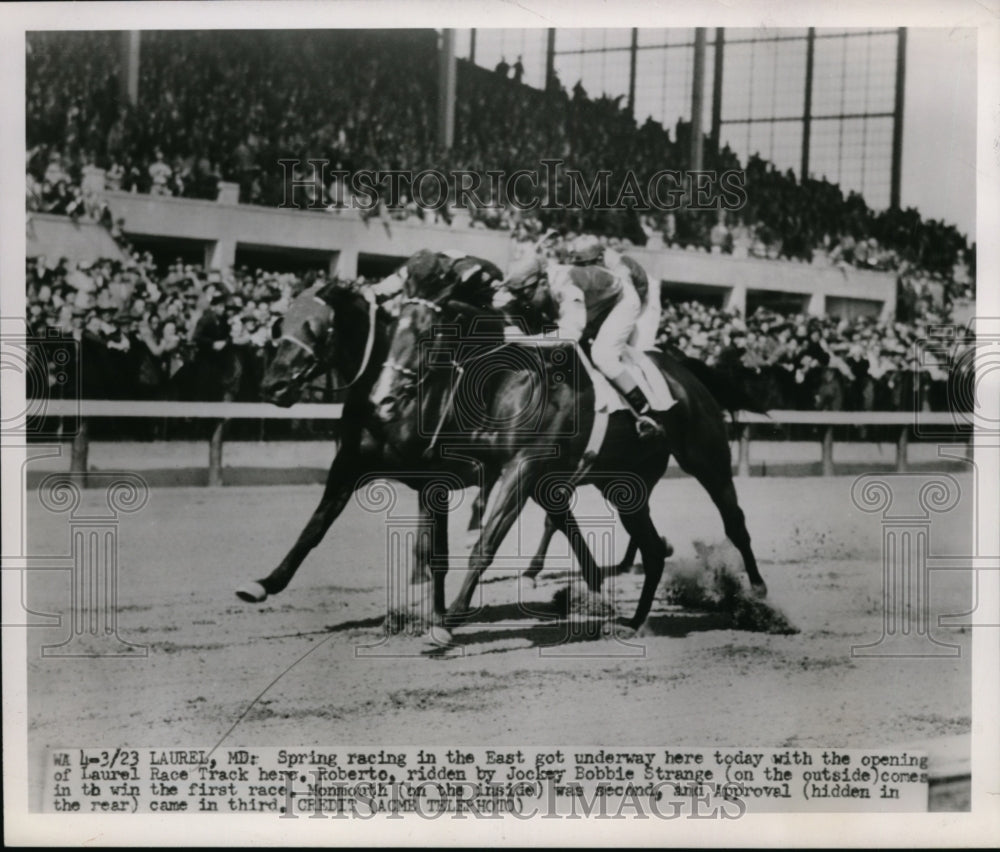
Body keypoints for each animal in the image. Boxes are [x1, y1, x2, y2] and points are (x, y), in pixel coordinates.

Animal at [368, 290, 764, 636]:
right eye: (391, 332)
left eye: (424, 334)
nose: (382, 398)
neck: (512, 380)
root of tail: (685, 372)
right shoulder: (490, 464)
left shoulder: (523, 467)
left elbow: (487, 544)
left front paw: (449, 620)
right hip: (626, 487)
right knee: (652, 550)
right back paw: (634, 621)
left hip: (707, 460)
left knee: (735, 521)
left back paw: (758, 595)